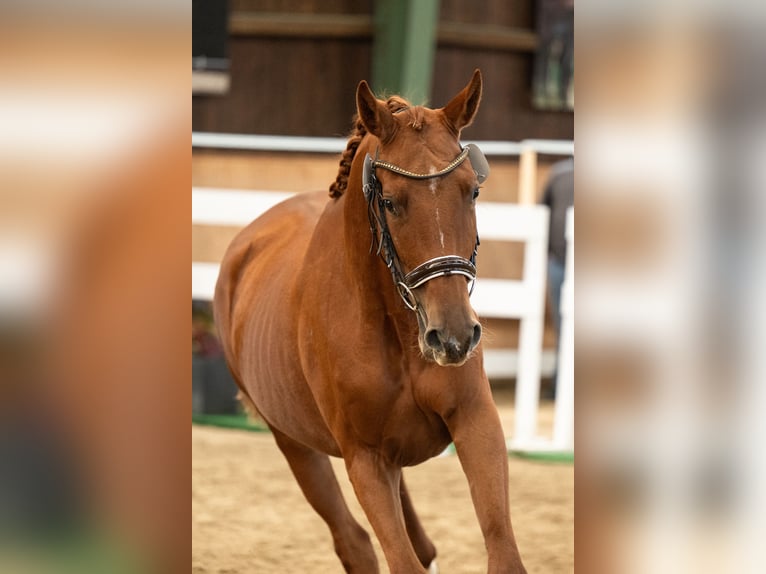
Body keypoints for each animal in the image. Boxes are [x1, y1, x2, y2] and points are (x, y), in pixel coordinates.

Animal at [216, 70, 528, 572]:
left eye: (473, 190)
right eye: (392, 202)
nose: (455, 338)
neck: (398, 332)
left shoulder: (475, 421)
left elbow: (501, 550)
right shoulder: (365, 460)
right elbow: (400, 559)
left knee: (418, 542)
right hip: (295, 445)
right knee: (355, 542)